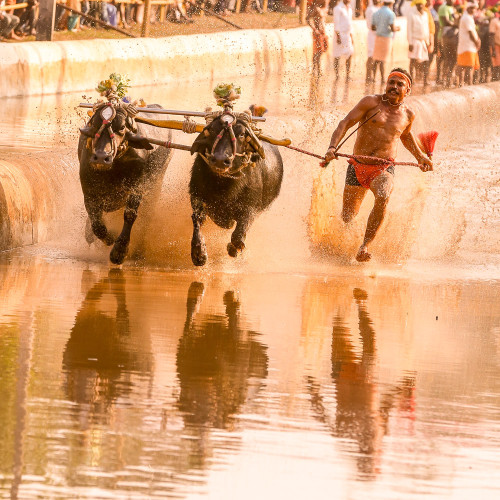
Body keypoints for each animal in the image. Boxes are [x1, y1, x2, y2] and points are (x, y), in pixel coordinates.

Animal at [78, 102, 172, 266]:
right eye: (95, 124)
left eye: (122, 127)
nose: (101, 157)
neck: (113, 168)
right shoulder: (89, 192)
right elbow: (97, 223)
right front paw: (109, 237)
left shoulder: (137, 188)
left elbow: (130, 214)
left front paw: (119, 251)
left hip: (155, 186)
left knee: (147, 217)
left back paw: (139, 252)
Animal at [188, 108, 284, 268]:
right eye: (212, 130)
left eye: (241, 134)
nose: (220, 160)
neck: (224, 184)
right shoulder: (197, 195)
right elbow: (198, 220)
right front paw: (199, 253)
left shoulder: (250, 208)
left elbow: (238, 236)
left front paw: (233, 249)